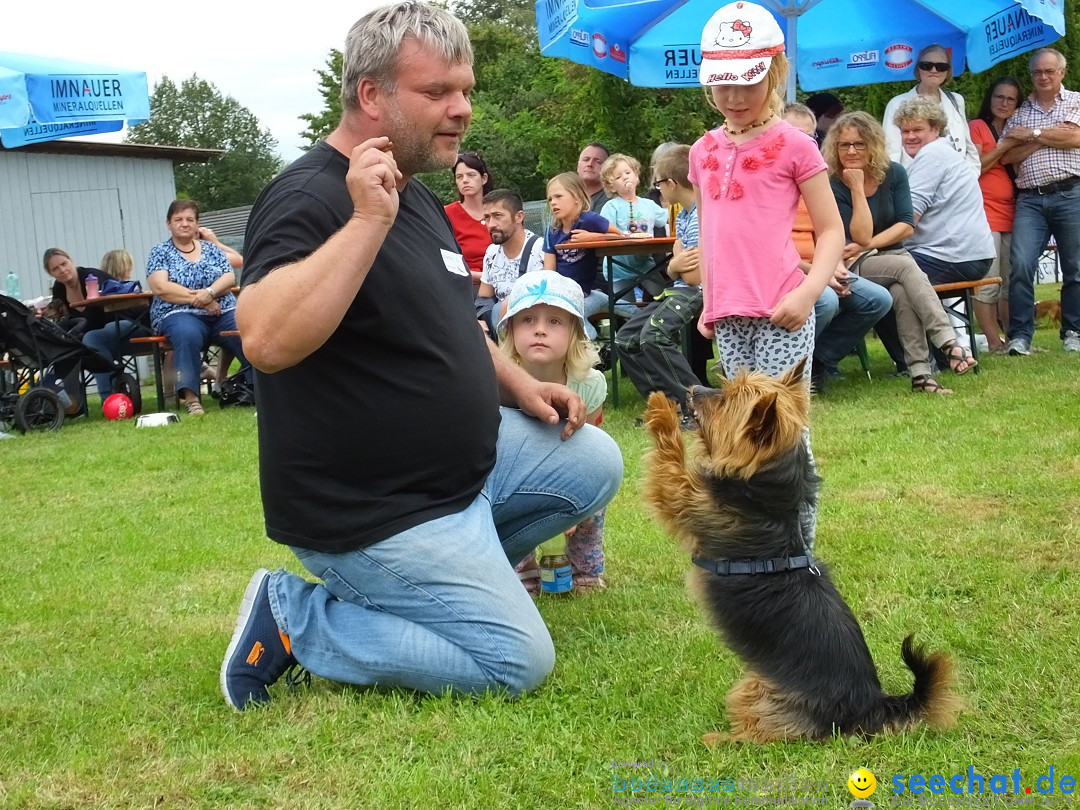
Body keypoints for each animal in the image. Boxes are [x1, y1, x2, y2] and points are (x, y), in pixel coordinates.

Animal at [639, 358, 963, 747]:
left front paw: (660, 409)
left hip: (755, 690)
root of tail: (872, 706)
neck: (766, 492)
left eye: (725, 400)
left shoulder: (686, 498)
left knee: (762, 734)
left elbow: (671, 461)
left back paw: (719, 739)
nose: (693, 388)